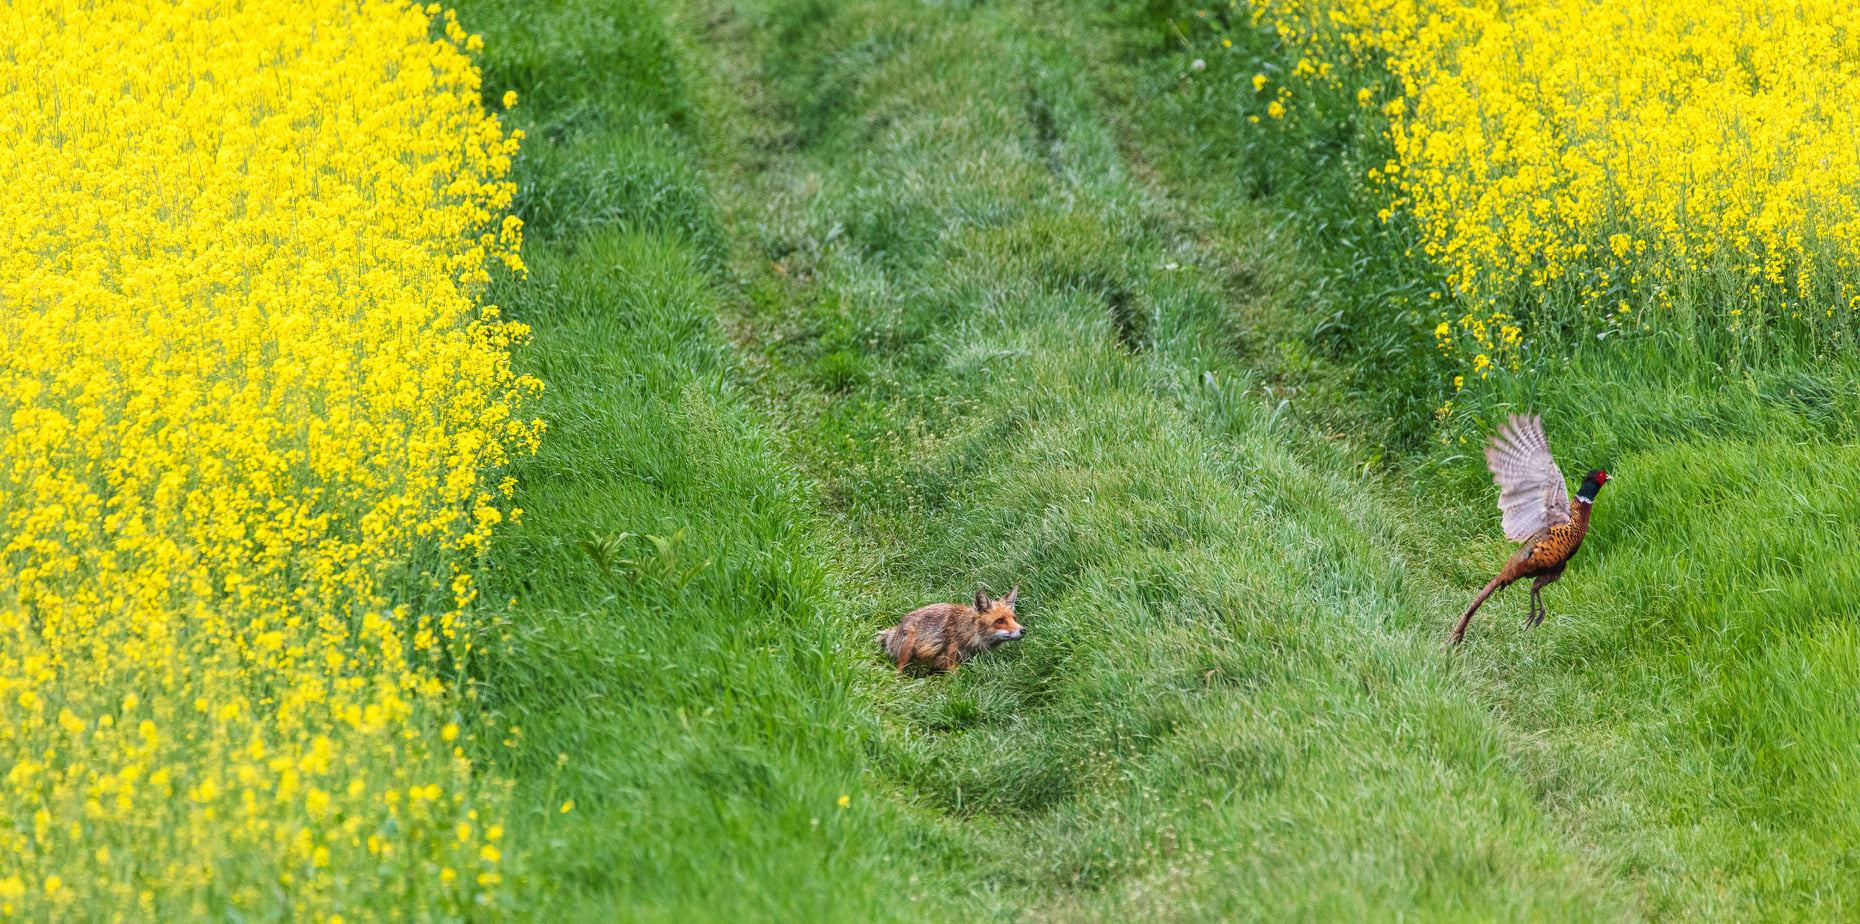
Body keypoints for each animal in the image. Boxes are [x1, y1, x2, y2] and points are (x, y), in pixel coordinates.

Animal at [877, 587, 1026, 673]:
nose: (1023, 630)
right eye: (1000, 621)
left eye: (1014, 619)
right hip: (907, 650)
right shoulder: (951, 661)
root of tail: (898, 626)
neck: (967, 632)